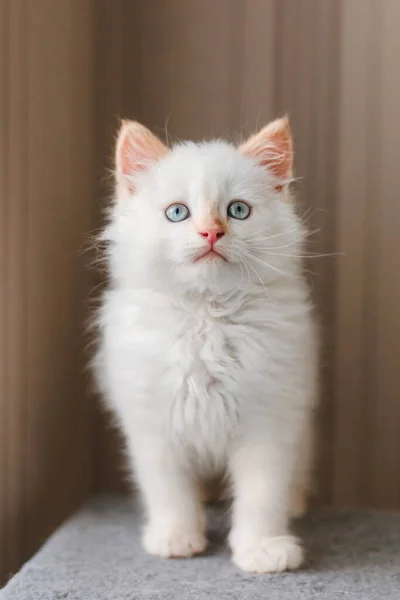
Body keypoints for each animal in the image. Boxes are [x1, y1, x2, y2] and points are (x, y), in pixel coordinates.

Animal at [92, 116, 318, 572]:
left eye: (238, 210)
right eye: (177, 213)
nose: (211, 232)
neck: (206, 315)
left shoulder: (270, 420)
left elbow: (262, 496)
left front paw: (263, 549)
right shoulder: (154, 424)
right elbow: (169, 492)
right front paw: (176, 538)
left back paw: (296, 504)